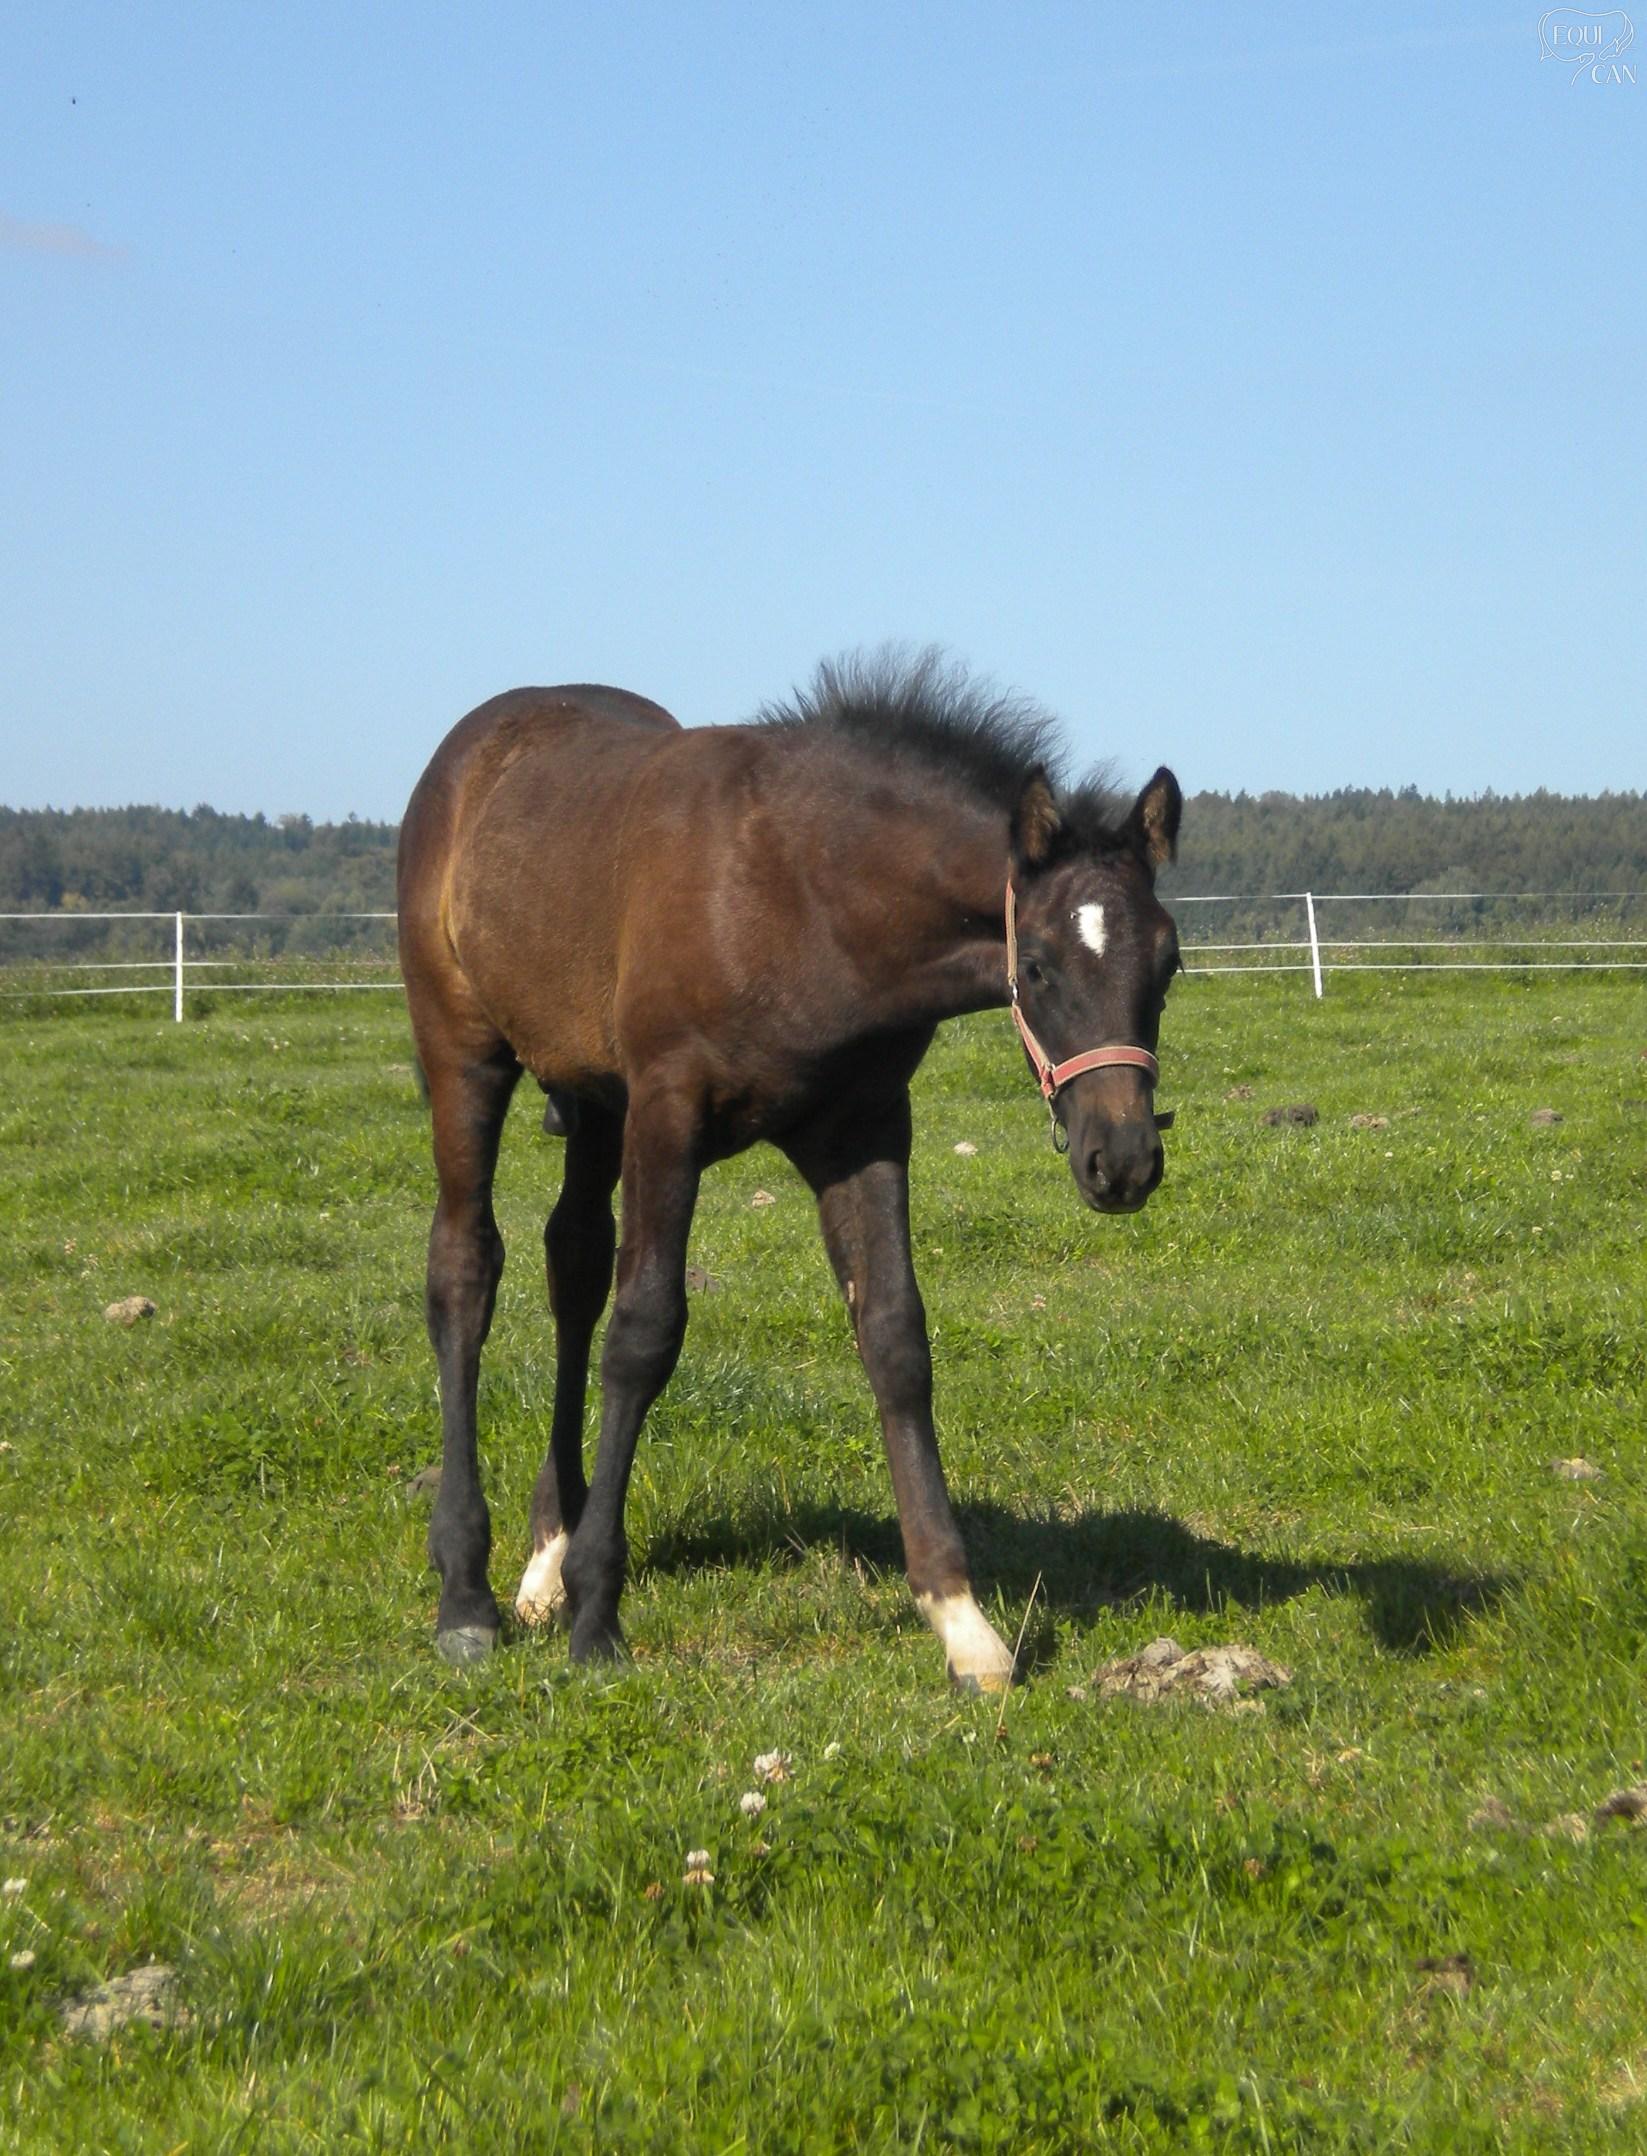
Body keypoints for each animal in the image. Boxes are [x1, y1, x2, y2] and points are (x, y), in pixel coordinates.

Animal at [397, 653, 1182, 1690]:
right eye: (1042, 965)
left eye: (1168, 963)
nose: (1120, 1161)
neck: (803, 890)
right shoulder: (668, 1110)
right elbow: (644, 1333)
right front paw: (599, 1617)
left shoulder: (863, 1128)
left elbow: (895, 1339)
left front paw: (962, 1621)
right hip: (467, 1055)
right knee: (465, 1271)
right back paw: (467, 1594)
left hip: (591, 1095)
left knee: (572, 1263)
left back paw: (543, 1559)